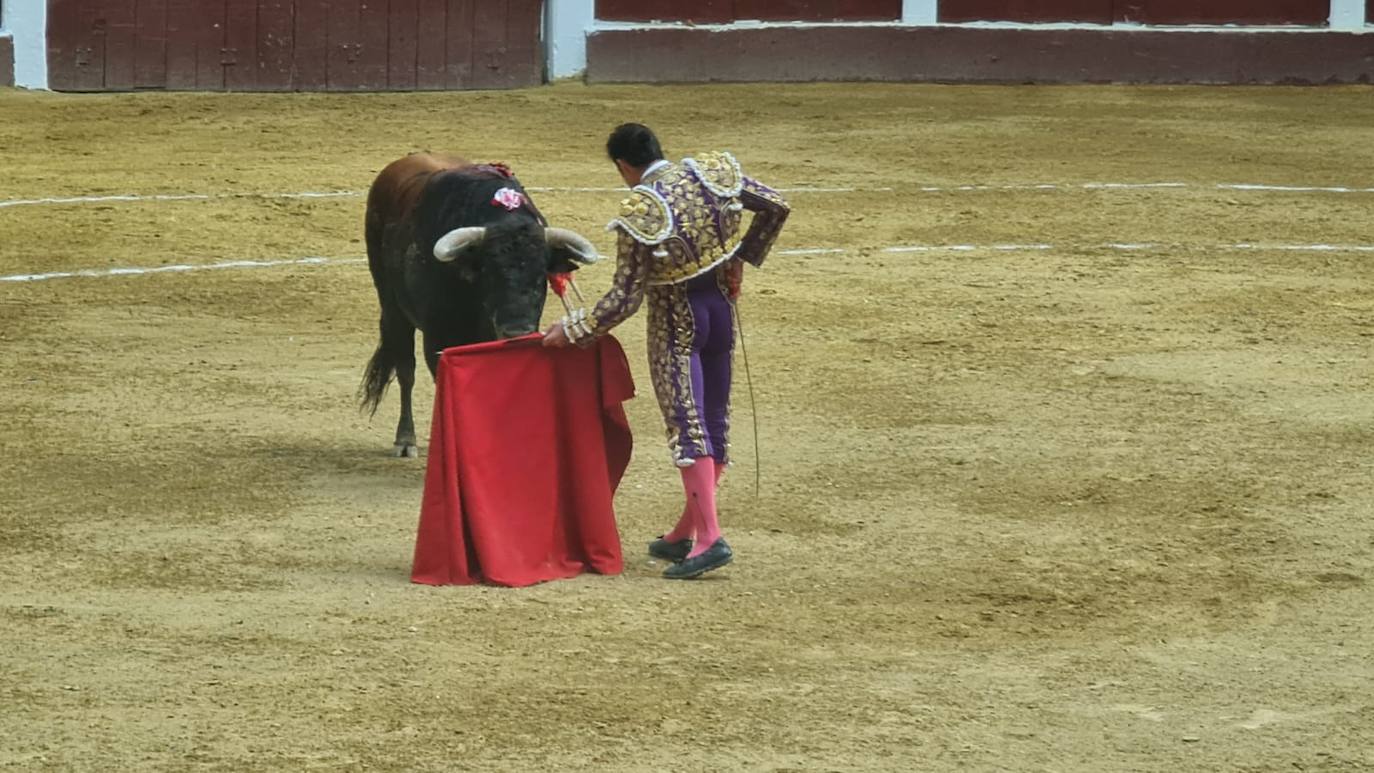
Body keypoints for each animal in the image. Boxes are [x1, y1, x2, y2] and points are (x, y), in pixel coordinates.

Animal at [359, 153, 596, 455]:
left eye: (541, 273)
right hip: (392, 307)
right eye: (489, 272)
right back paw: (405, 440)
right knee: (405, 369)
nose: (516, 331)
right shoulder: (438, 337)